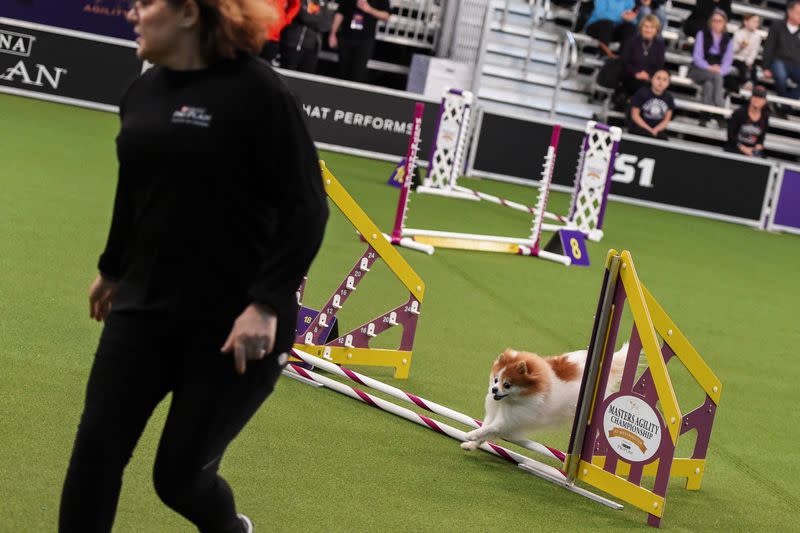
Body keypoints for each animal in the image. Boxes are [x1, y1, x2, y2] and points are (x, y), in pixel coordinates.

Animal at [460, 340, 628, 448]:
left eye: (507, 385)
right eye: (495, 380)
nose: (494, 389)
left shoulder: (509, 420)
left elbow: (488, 429)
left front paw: (471, 435)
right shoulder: (497, 417)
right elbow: (487, 430)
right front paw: (471, 444)